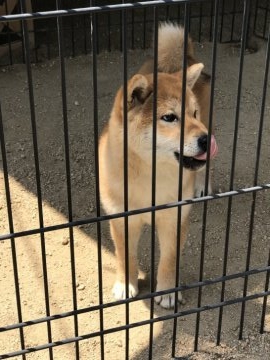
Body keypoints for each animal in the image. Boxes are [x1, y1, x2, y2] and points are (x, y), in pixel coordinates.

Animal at [98, 23, 217, 310]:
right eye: (169, 118)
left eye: (193, 114)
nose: (206, 139)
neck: (151, 178)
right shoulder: (121, 218)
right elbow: (124, 256)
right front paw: (125, 285)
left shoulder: (174, 216)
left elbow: (169, 259)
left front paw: (167, 291)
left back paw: (202, 185)